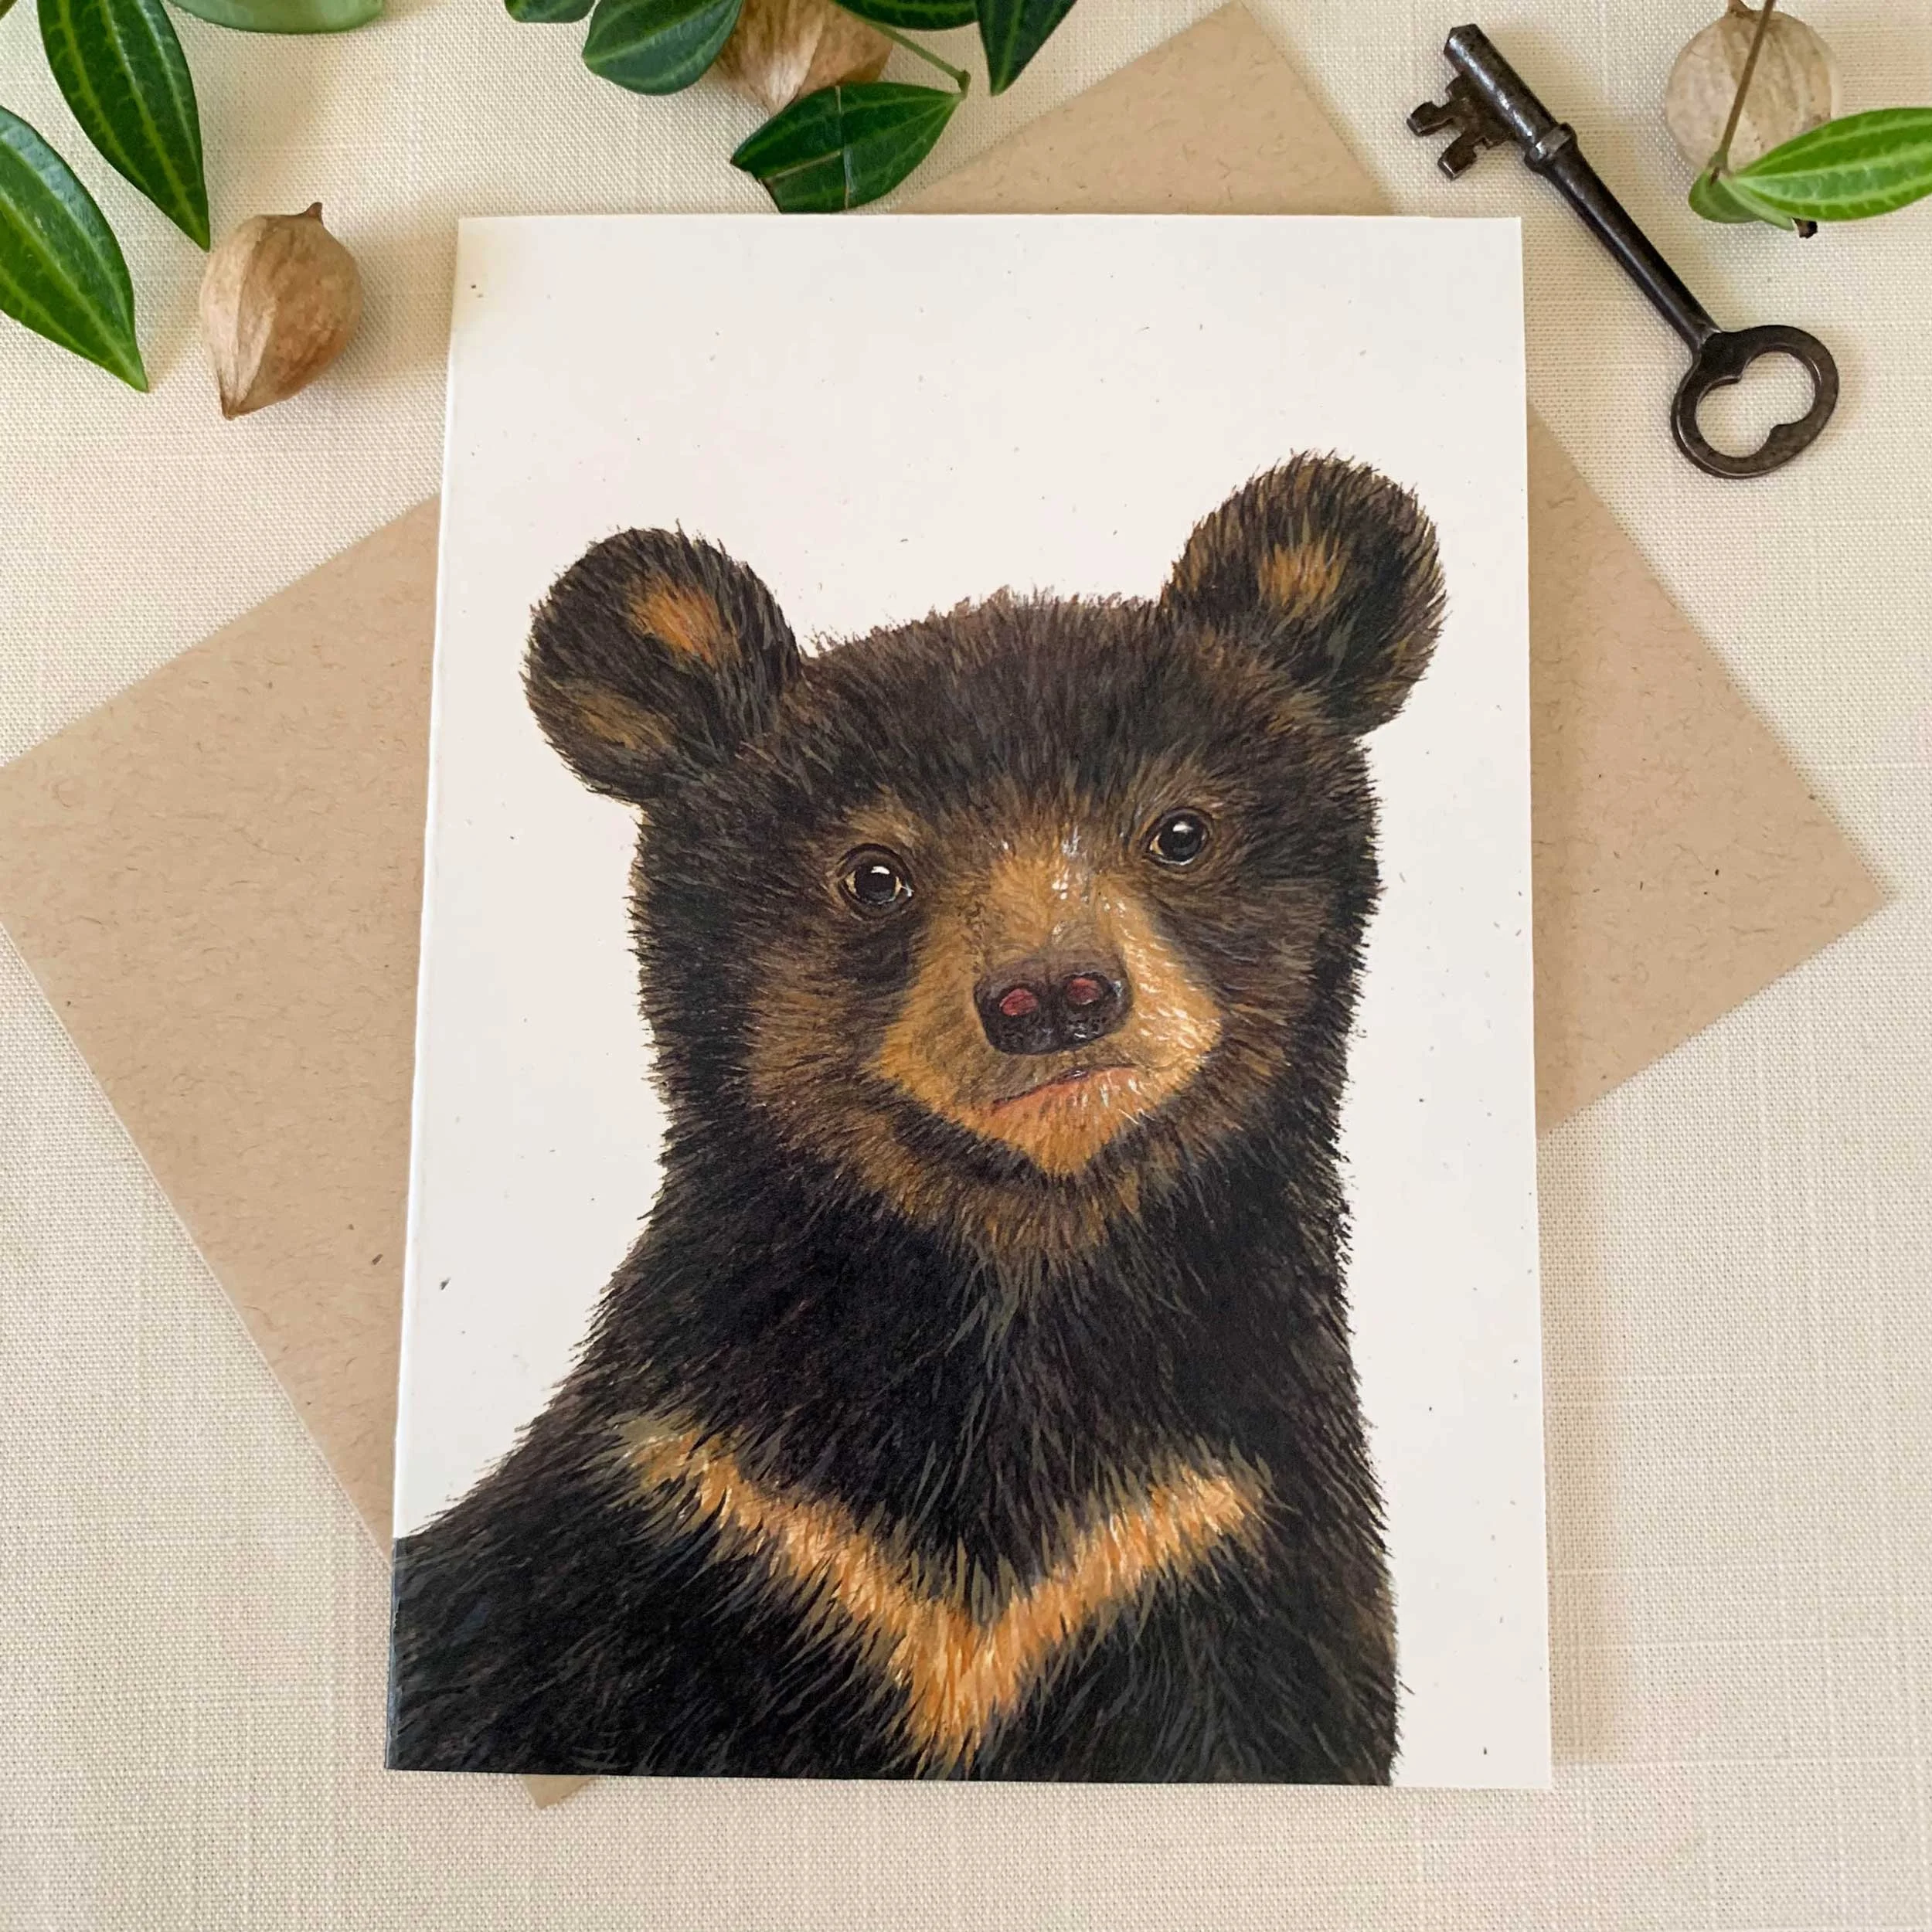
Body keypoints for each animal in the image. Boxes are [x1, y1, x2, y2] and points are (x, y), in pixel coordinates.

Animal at [387, 454, 1445, 1783]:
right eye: (875, 874)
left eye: (1180, 831)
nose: (1053, 993)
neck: (1011, 1296)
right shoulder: (705, 1525)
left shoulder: (1216, 1548)